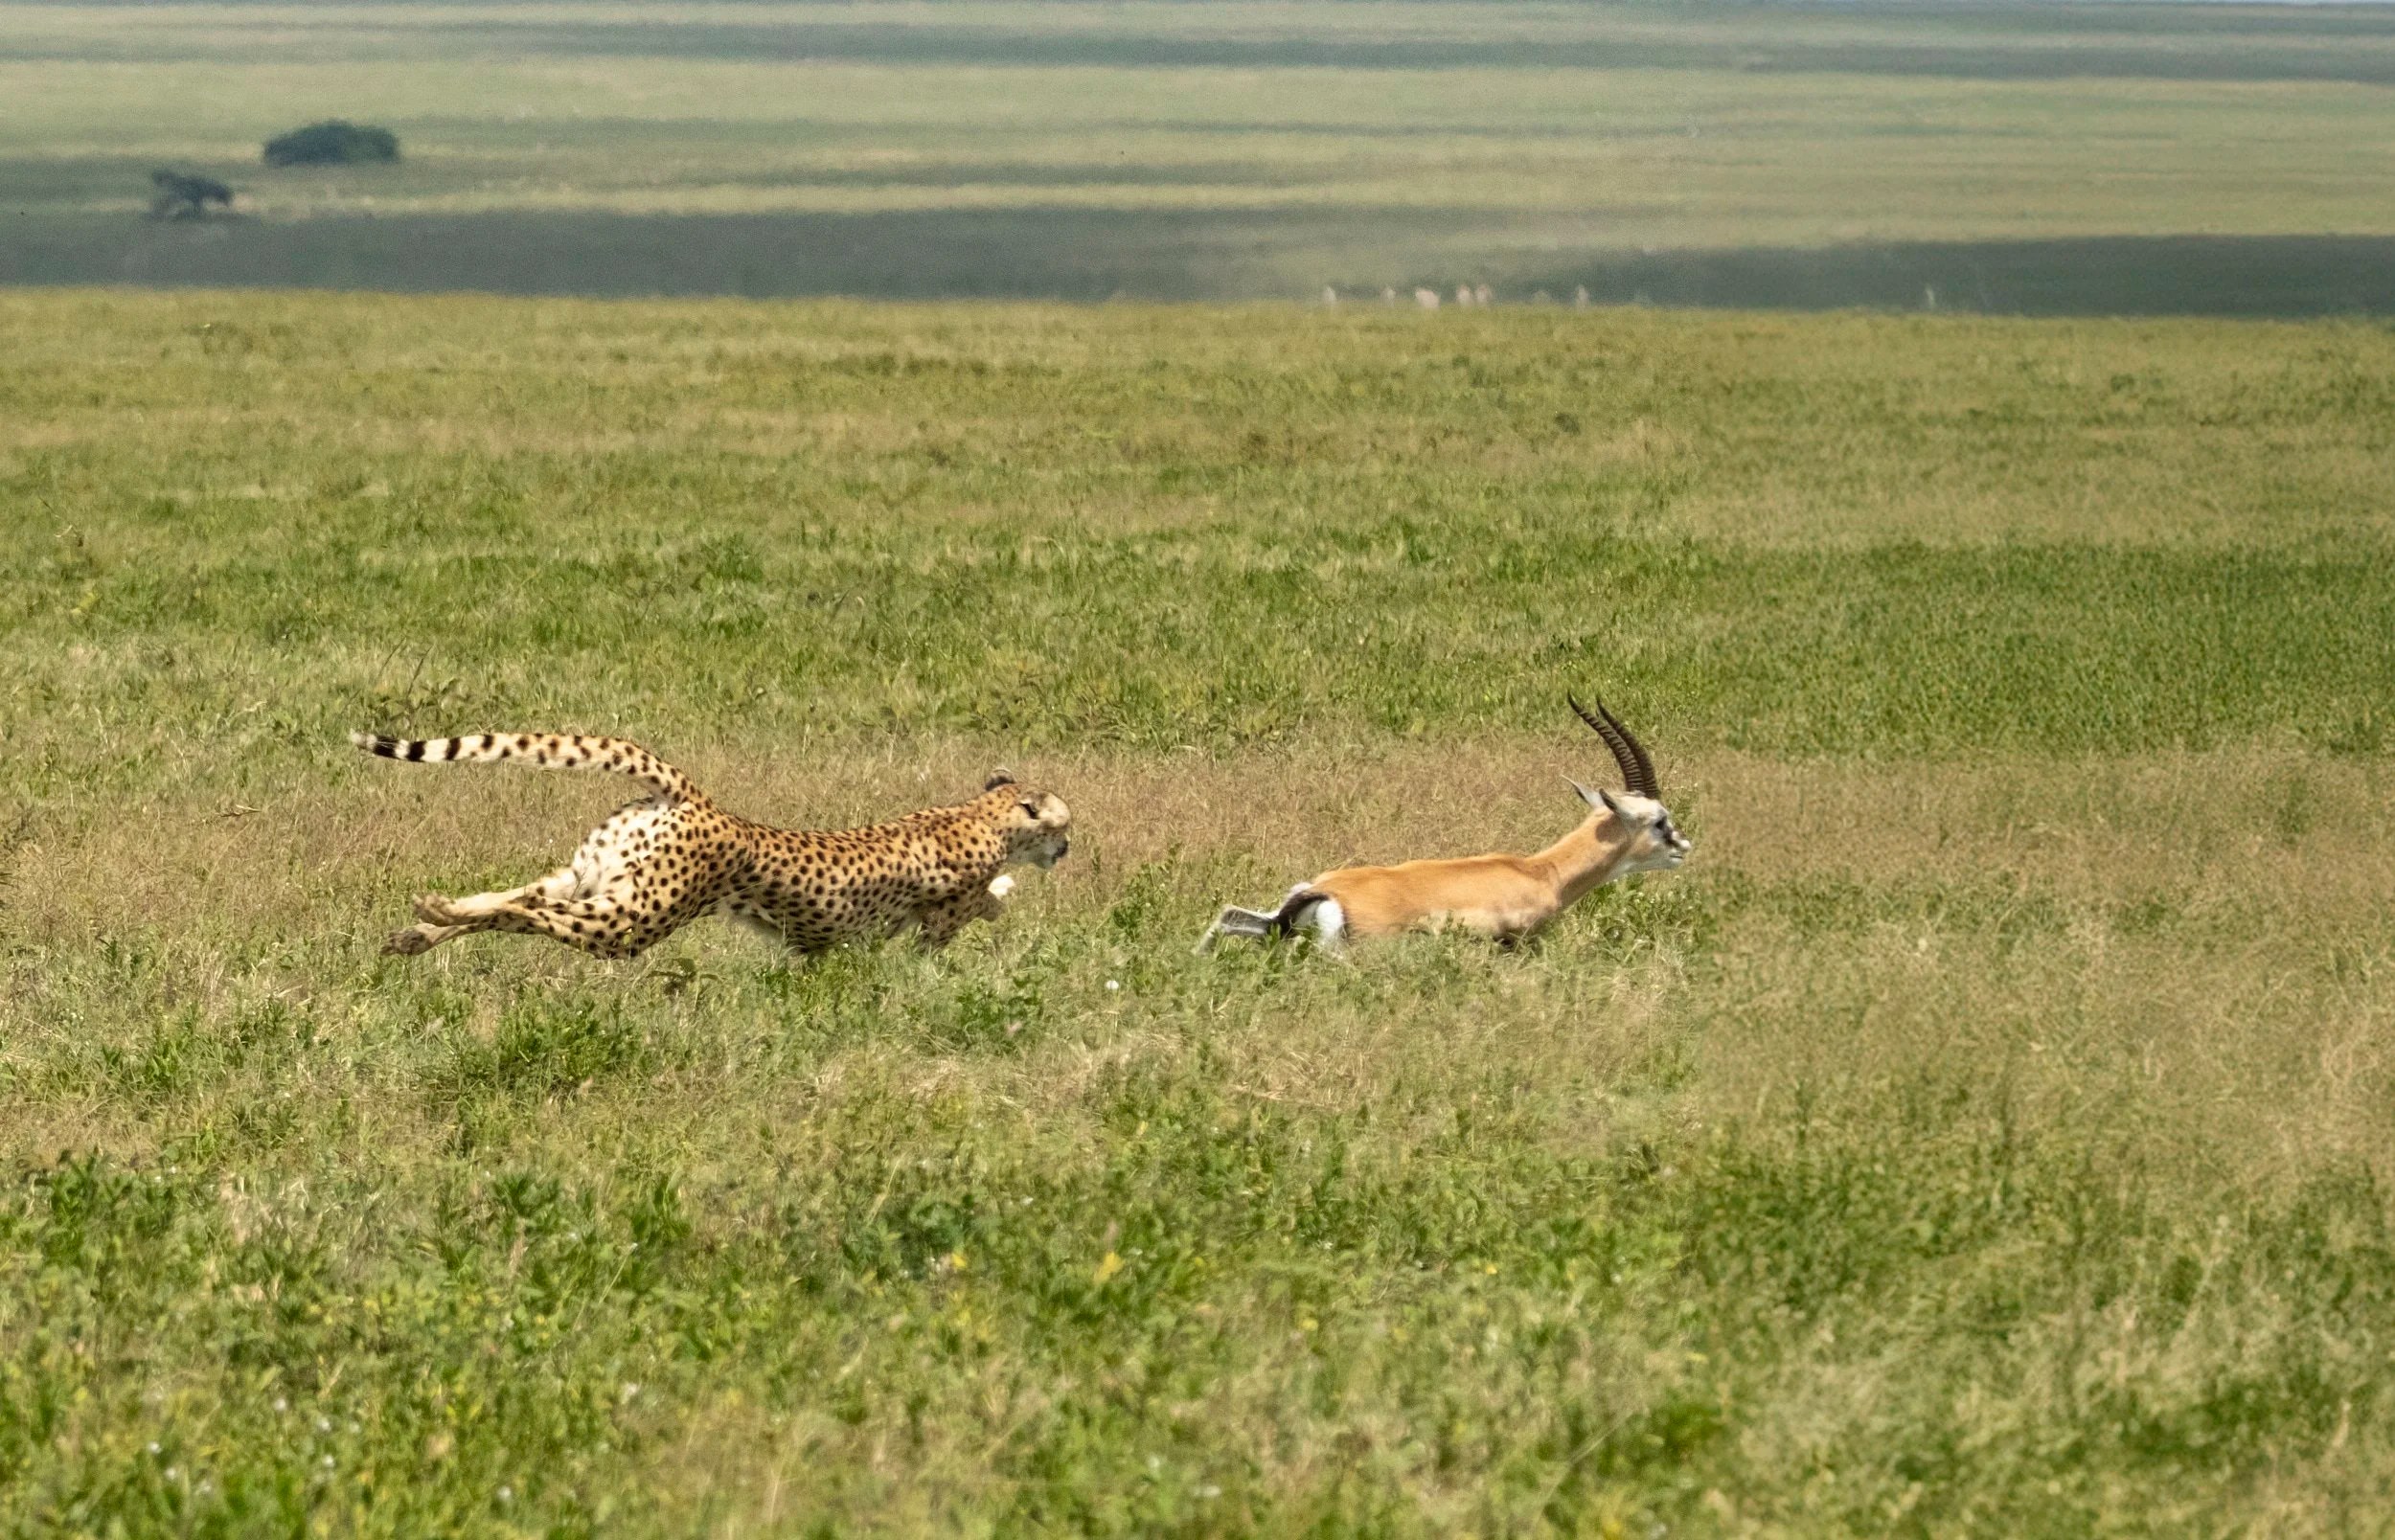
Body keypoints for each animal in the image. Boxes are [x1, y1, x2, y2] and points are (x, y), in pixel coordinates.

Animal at [353, 732, 1070, 961]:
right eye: (1063, 826)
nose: (1066, 851)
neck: (982, 814)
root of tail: (698, 801)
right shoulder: (938, 926)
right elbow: (981, 906)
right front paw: (1006, 890)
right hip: (631, 921)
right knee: (528, 913)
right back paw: (434, 918)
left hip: (591, 877)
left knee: (511, 899)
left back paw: (426, 925)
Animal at [1196, 697, 1690, 954]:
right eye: (1660, 820)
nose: (1683, 846)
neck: (1541, 872)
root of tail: (1327, 891)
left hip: (1274, 921)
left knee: (1228, 915)